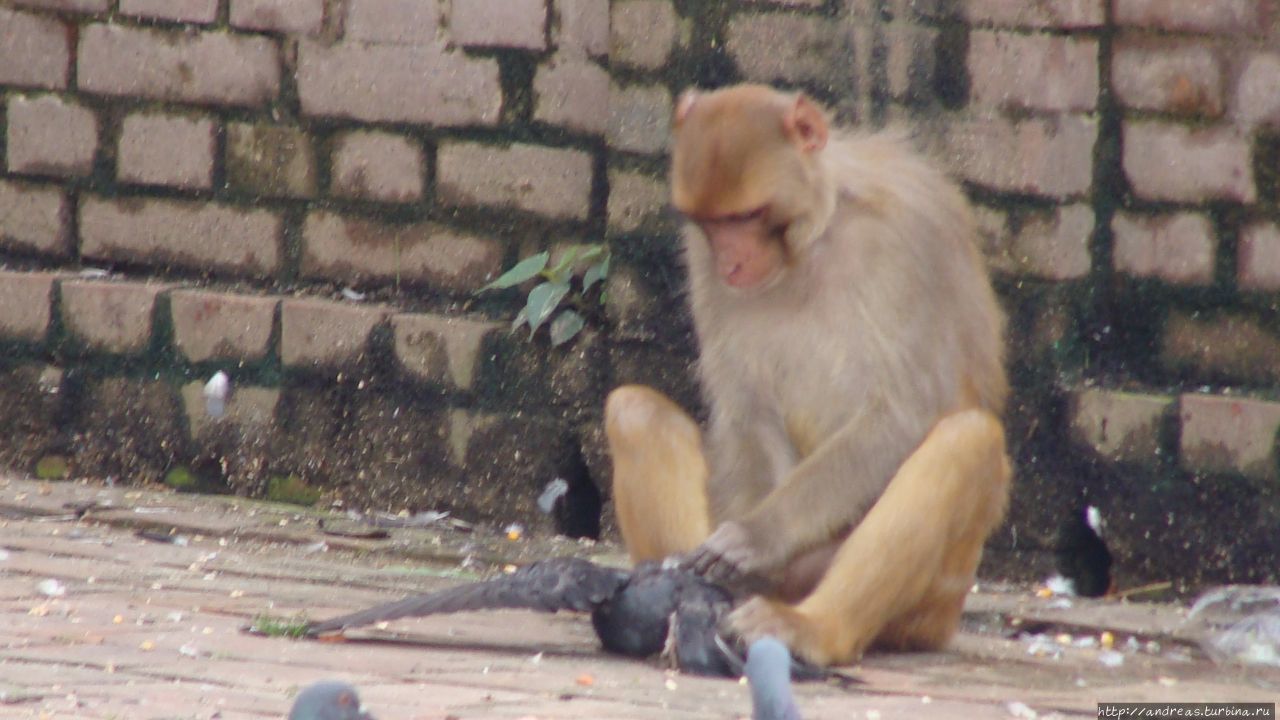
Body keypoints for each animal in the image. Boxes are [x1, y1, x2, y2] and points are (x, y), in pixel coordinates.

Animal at [604, 85, 1013, 666]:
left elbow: (903, 414)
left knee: (968, 439)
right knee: (633, 411)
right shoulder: (699, 259)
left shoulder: (909, 236)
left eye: (749, 215)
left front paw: (757, 538)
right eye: (713, 223)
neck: (814, 238)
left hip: (931, 601)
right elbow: (747, 408)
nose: (731, 264)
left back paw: (814, 628)